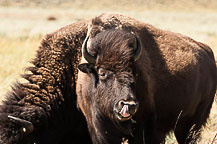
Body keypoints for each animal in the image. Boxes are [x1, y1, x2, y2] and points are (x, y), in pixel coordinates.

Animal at [76, 12, 217, 143]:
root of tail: (208, 53)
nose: (129, 104)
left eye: (134, 72)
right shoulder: (99, 129)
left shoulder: (143, 128)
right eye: (102, 73)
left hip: (193, 122)